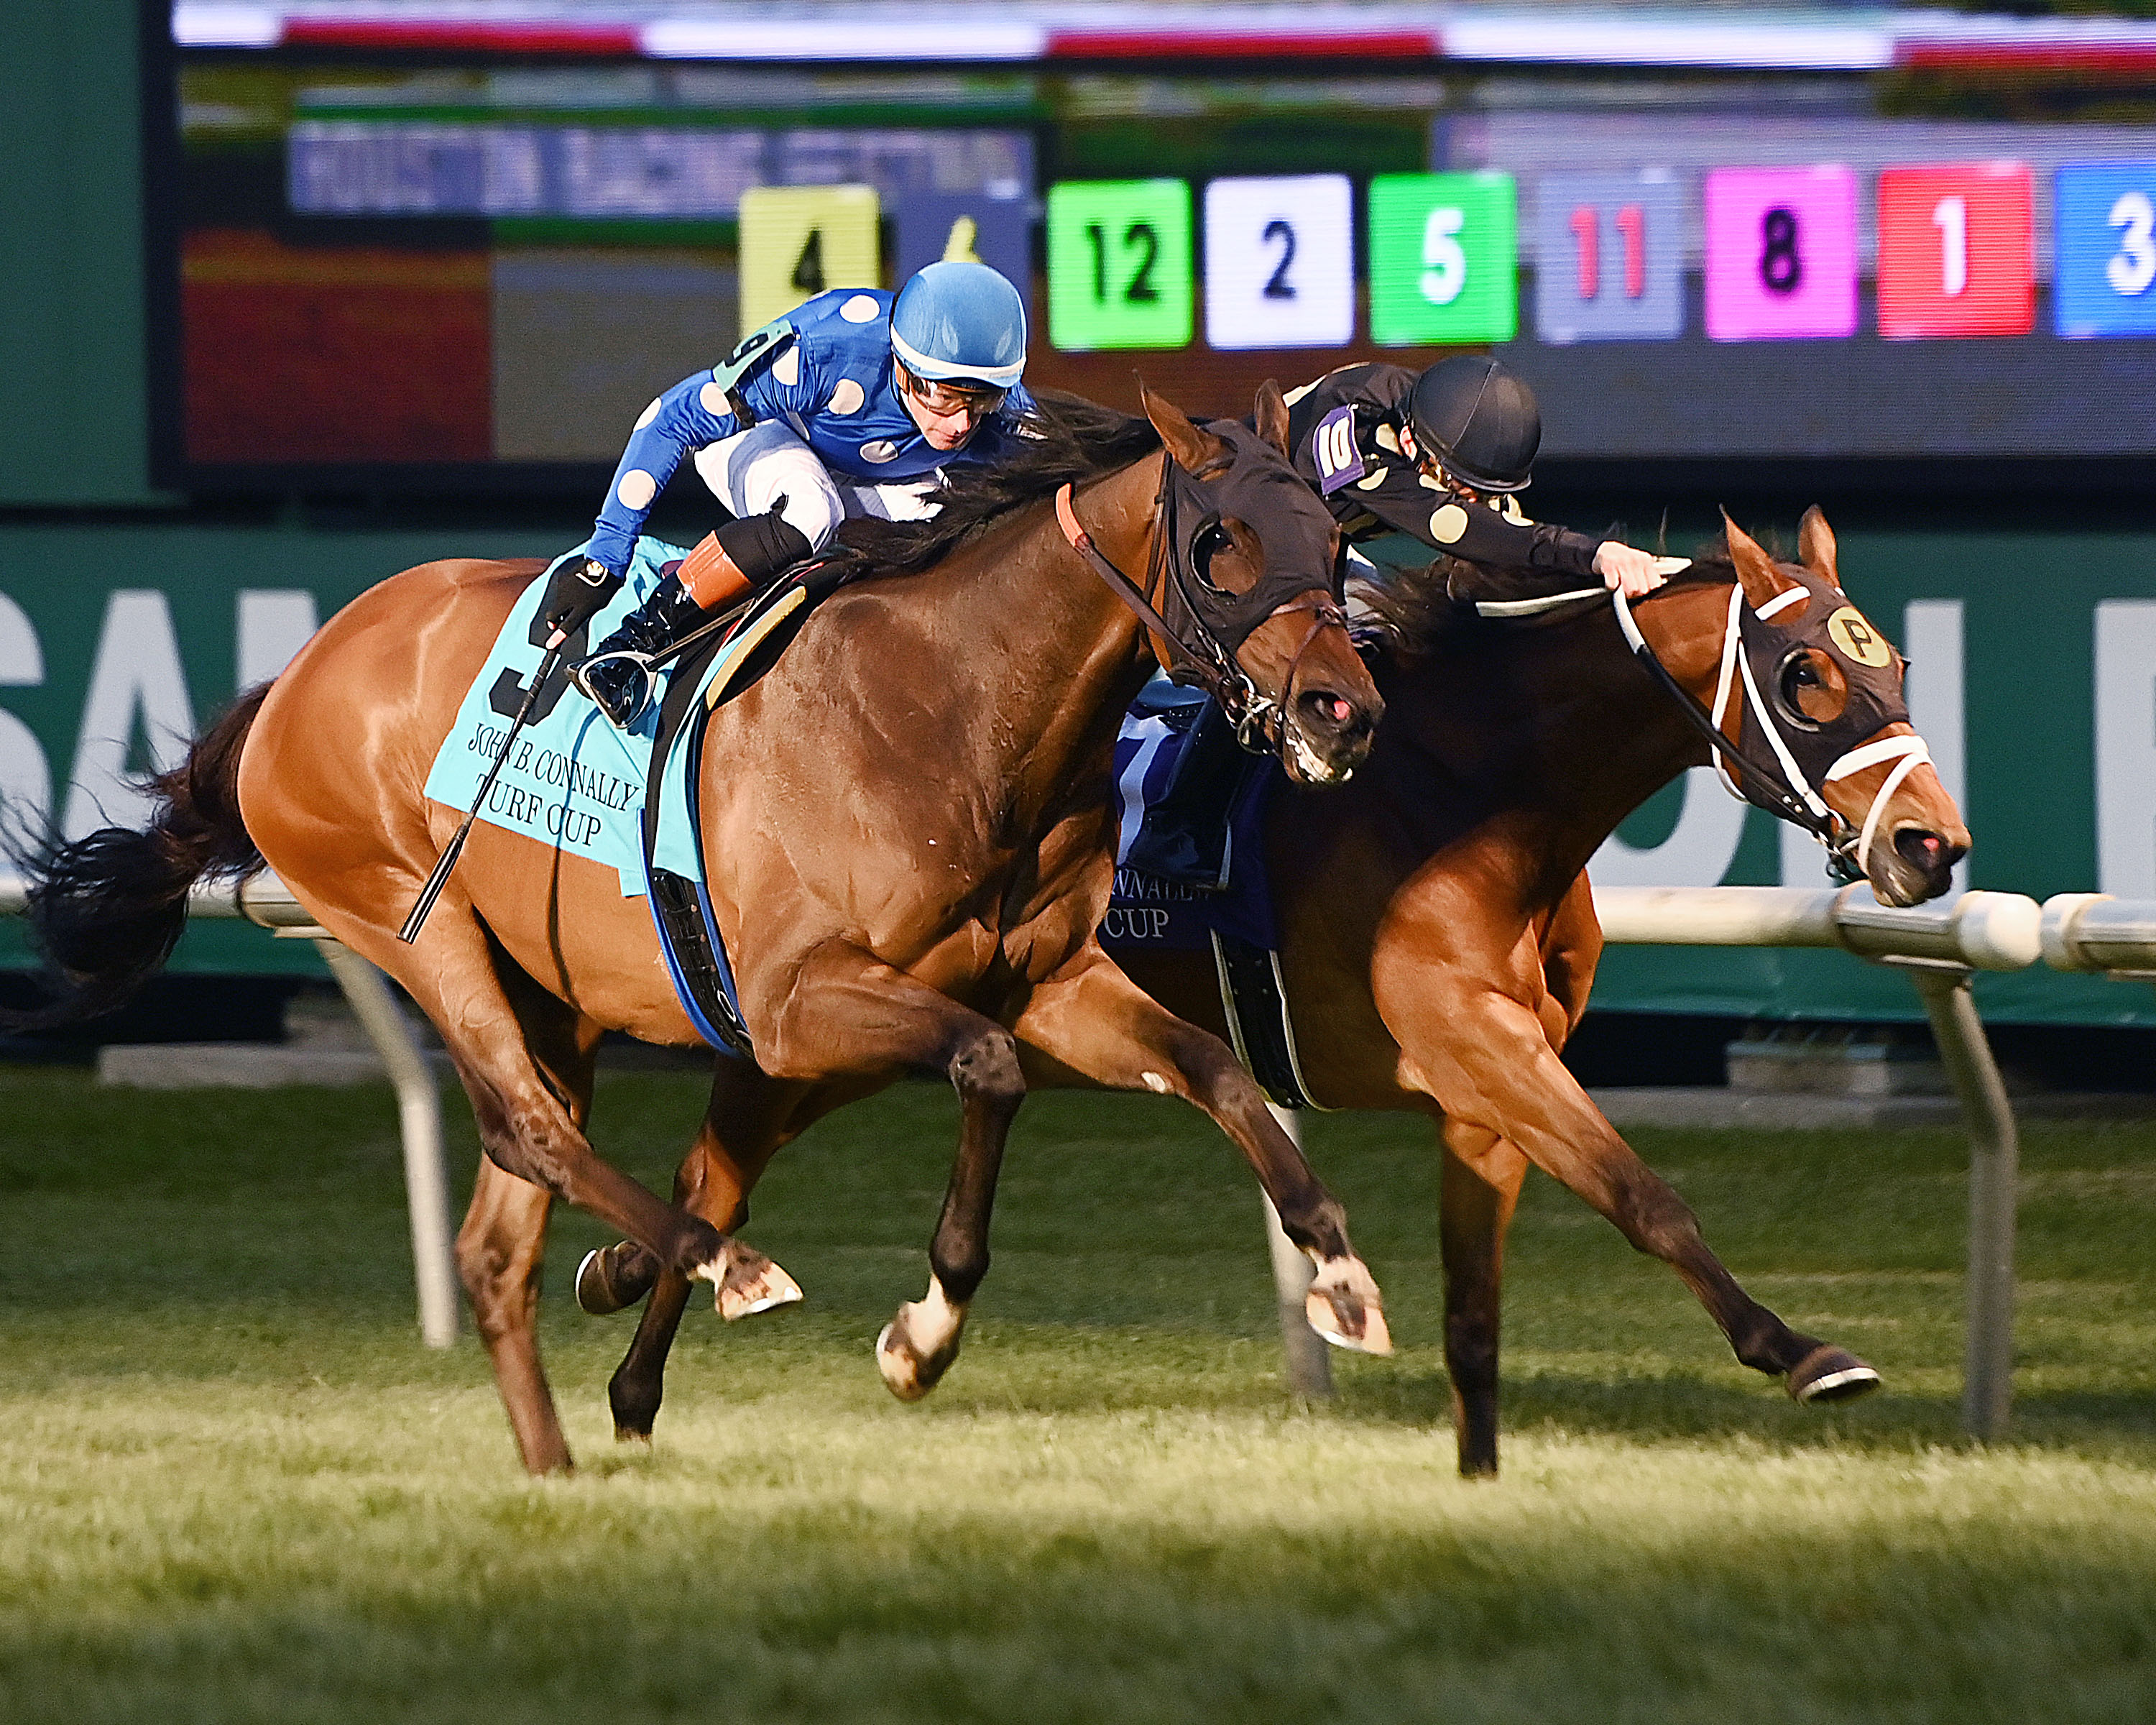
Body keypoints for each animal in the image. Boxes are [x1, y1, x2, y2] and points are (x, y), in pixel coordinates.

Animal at [13, 386, 1390, 1475]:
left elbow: (1214, 1069)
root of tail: (301, 670)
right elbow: (984, 1070)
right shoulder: (796, 1002)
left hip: (549, 993)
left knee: (499, 1238)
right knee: (528, 1130)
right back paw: (726, 1269)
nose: (1344, 710)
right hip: (414, 919)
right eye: (1221, 543)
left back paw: (559, 1459)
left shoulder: (1042, 977)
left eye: (1334, 538)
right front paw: (921, 1334)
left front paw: (1340, 1275)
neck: (952, 709)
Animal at [582, 507, 1970, 1472]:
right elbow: (1646, 1195)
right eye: (1806, 678)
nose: (1933, 846)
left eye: (1898, 664)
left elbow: (1481, 1307)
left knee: (716, 1163)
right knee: (719, 1164)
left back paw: (619, 1283)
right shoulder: (1477, 1043)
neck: (1472, 785)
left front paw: (1478, 1468)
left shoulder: (1484, 1090)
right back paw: (642, 1363)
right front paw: (1803, 1352)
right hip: (837, 1019)